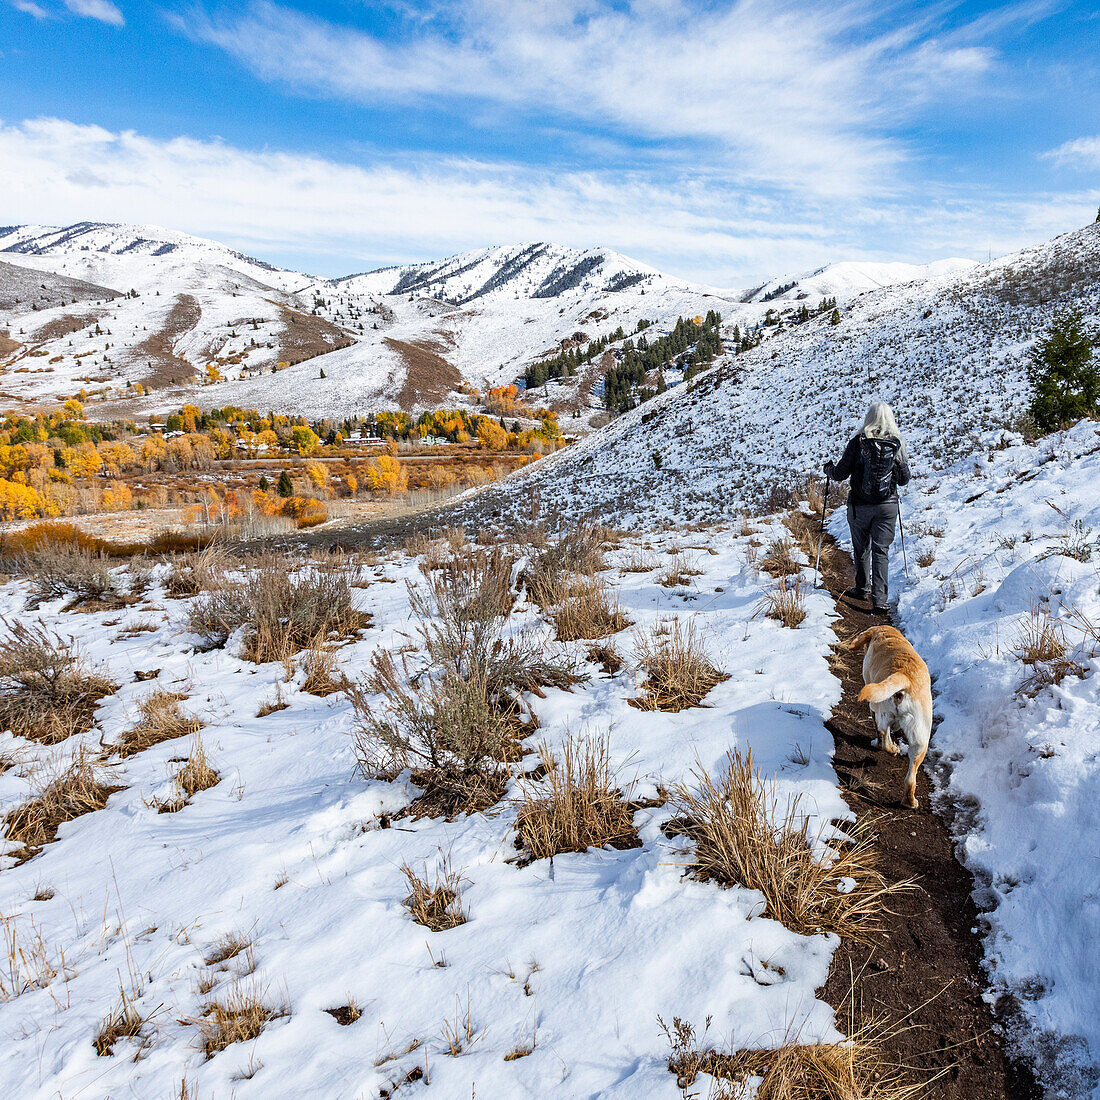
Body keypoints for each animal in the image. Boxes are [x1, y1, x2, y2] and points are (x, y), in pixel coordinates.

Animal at [844, 629, 932, 809]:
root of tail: (903, 676)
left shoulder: (873, 707)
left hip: (880, 709)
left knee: (884, 735)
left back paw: (891, 748)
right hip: (921, 740)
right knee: (911, 778)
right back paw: (910, 802)